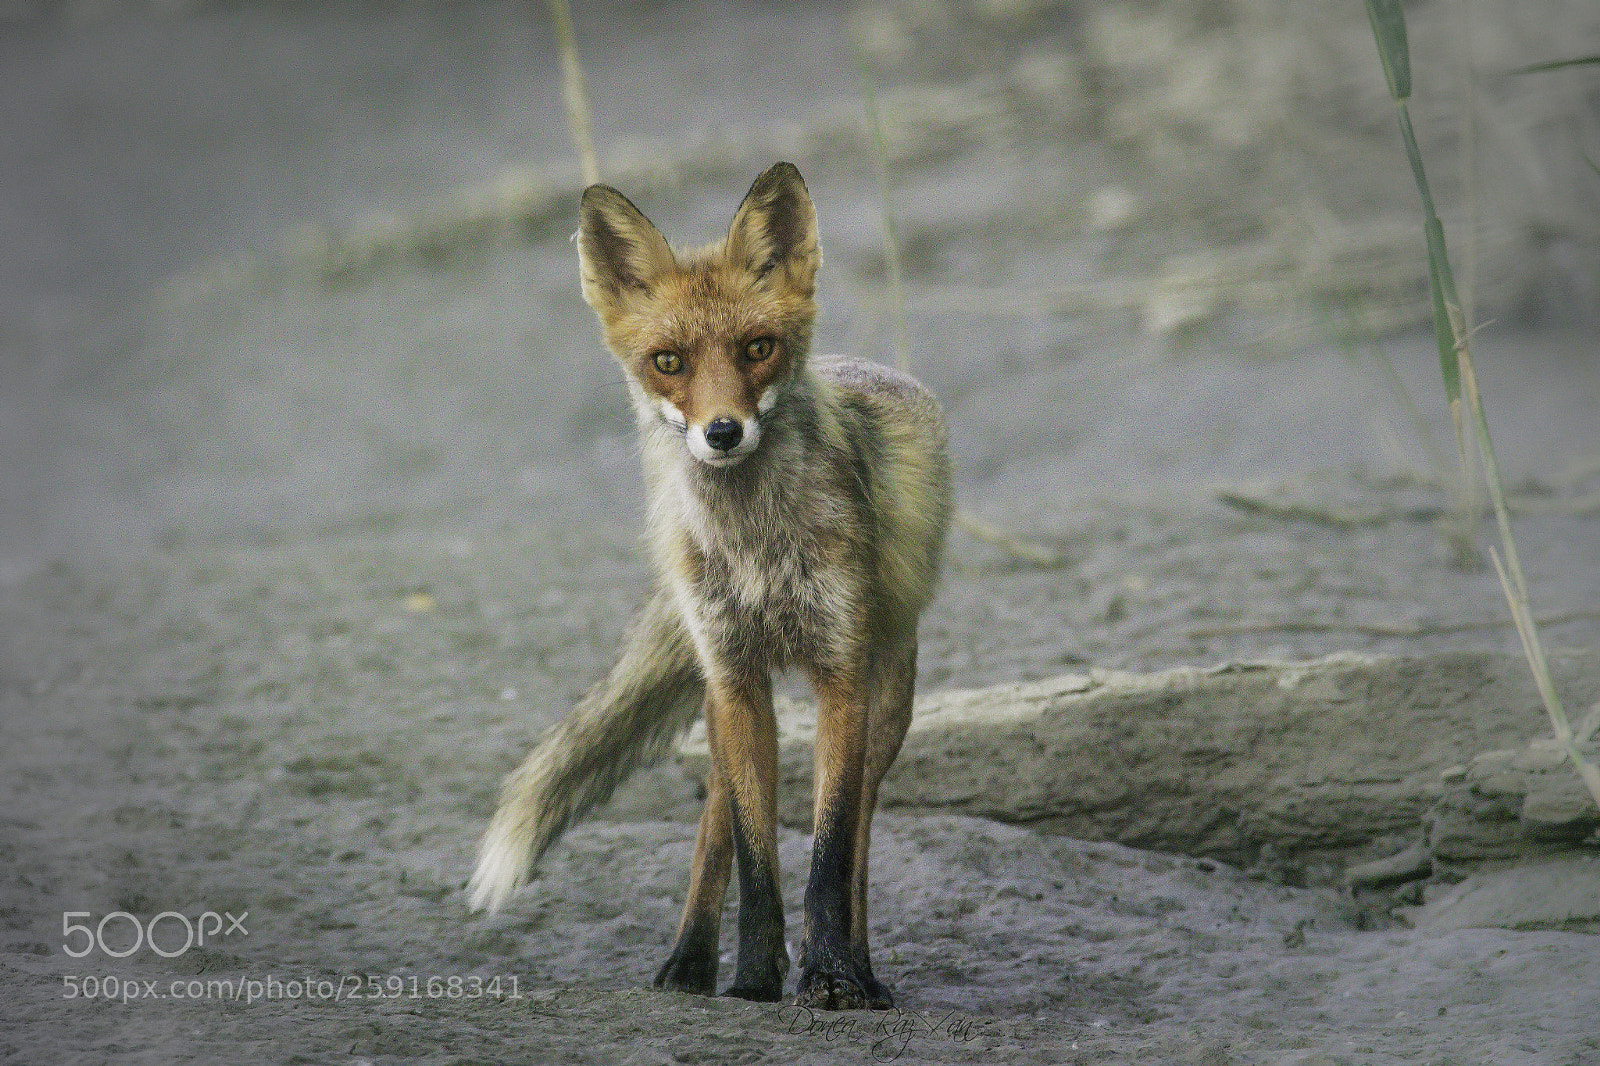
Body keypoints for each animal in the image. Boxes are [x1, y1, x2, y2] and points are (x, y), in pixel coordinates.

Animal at [468, 162, 952, 1011]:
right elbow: (757, 864)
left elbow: (830, 856)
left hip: (888, 693)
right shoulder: (733, 676)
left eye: (758, 348)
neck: (756, 549)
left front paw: (830, 974)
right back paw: (690, 962)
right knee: (719, 821)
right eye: (668, 361)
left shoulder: (842, 673)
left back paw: (861, 970)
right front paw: (755, 977)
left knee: (859, 831)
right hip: (725, 693)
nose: (722, 433)